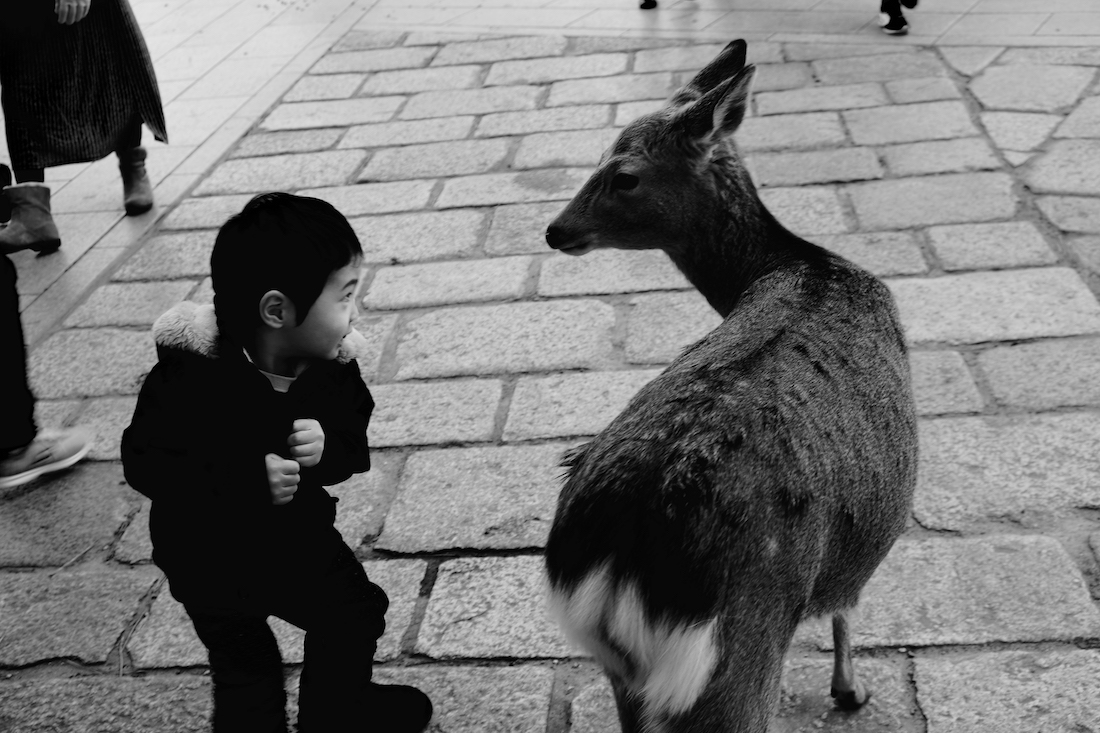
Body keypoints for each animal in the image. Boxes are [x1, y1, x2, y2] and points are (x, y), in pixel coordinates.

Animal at [542, 39, 917, 733]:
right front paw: (850, 690)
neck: (795, 262)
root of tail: (618, 556)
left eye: (623, 173)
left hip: (623, 671)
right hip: (744, 643)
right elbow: (847, 608)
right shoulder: (859, 547)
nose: (554, 230)